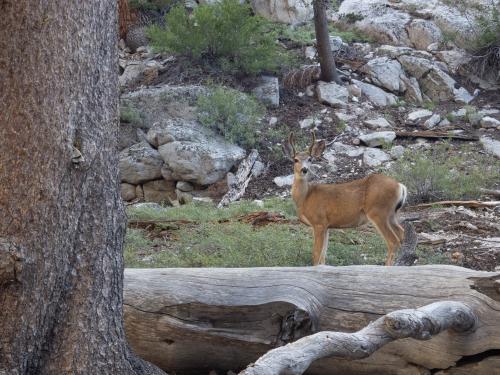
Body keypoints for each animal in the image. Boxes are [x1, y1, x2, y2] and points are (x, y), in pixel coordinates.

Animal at [286, 133, 406, 268]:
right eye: (295, 160)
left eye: (310, 159)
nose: (304, 169)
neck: (305, 197)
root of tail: (400, 186)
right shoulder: (326, 226)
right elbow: (323, 257)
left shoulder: (319, 222)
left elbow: (316, 255)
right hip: (391, 214)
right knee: (401, 232)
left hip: (378, 212)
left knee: (393, 241)